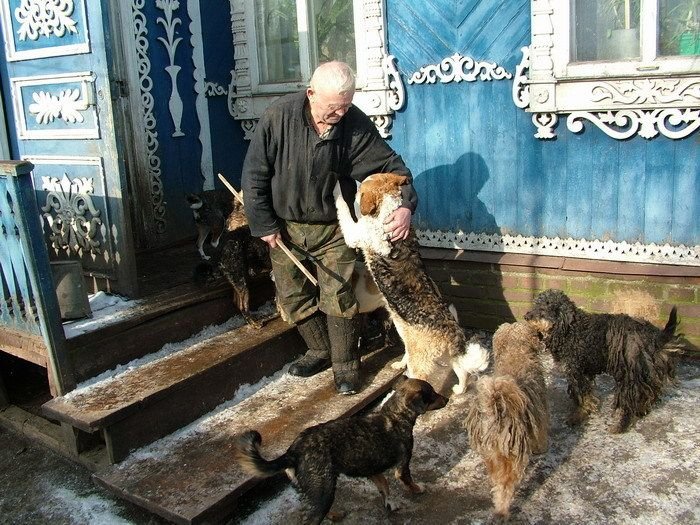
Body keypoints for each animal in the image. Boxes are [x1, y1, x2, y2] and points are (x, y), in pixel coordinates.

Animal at [332, 173, 486, 392]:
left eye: (361, 190)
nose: (354, 182)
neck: (389, 209)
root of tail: (451, 329)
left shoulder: (355, 233)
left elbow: (344, 208)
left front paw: (336, 188)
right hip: (431, 346)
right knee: (461, 371)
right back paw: (458, 389)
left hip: (418, 360)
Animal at [468, 320, 548, 520]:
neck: (516, 348)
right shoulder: (541, 412)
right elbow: (542, 435)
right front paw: (542, 449)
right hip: (511, 456)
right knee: (505, 486)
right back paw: (503, 512)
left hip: (492, 455)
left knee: (496, 483)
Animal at [524, 288, 684, 432]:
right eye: (535, 304)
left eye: (544, 308)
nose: (526, 316)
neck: (570, 330)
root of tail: (655, 336)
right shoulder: (583, 372)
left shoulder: (576, 371)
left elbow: (582, 396)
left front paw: (578, 416)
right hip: (646, 371)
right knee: (649, 392)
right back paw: (642, 410)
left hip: (631, 373)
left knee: (630, 400)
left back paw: (621, 425)